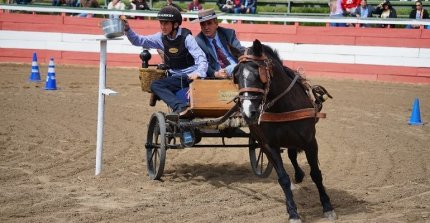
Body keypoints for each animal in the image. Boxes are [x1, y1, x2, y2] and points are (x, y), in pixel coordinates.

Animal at [232, 39, 336, 221]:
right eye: (236, 76)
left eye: (259, 73)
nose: (248, 112)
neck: (282, 107)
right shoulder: (269, 145)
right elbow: (283, 179)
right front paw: (293, 212)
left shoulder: (310, 142)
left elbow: (316, 174)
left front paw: (327, 207)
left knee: (293, 155)